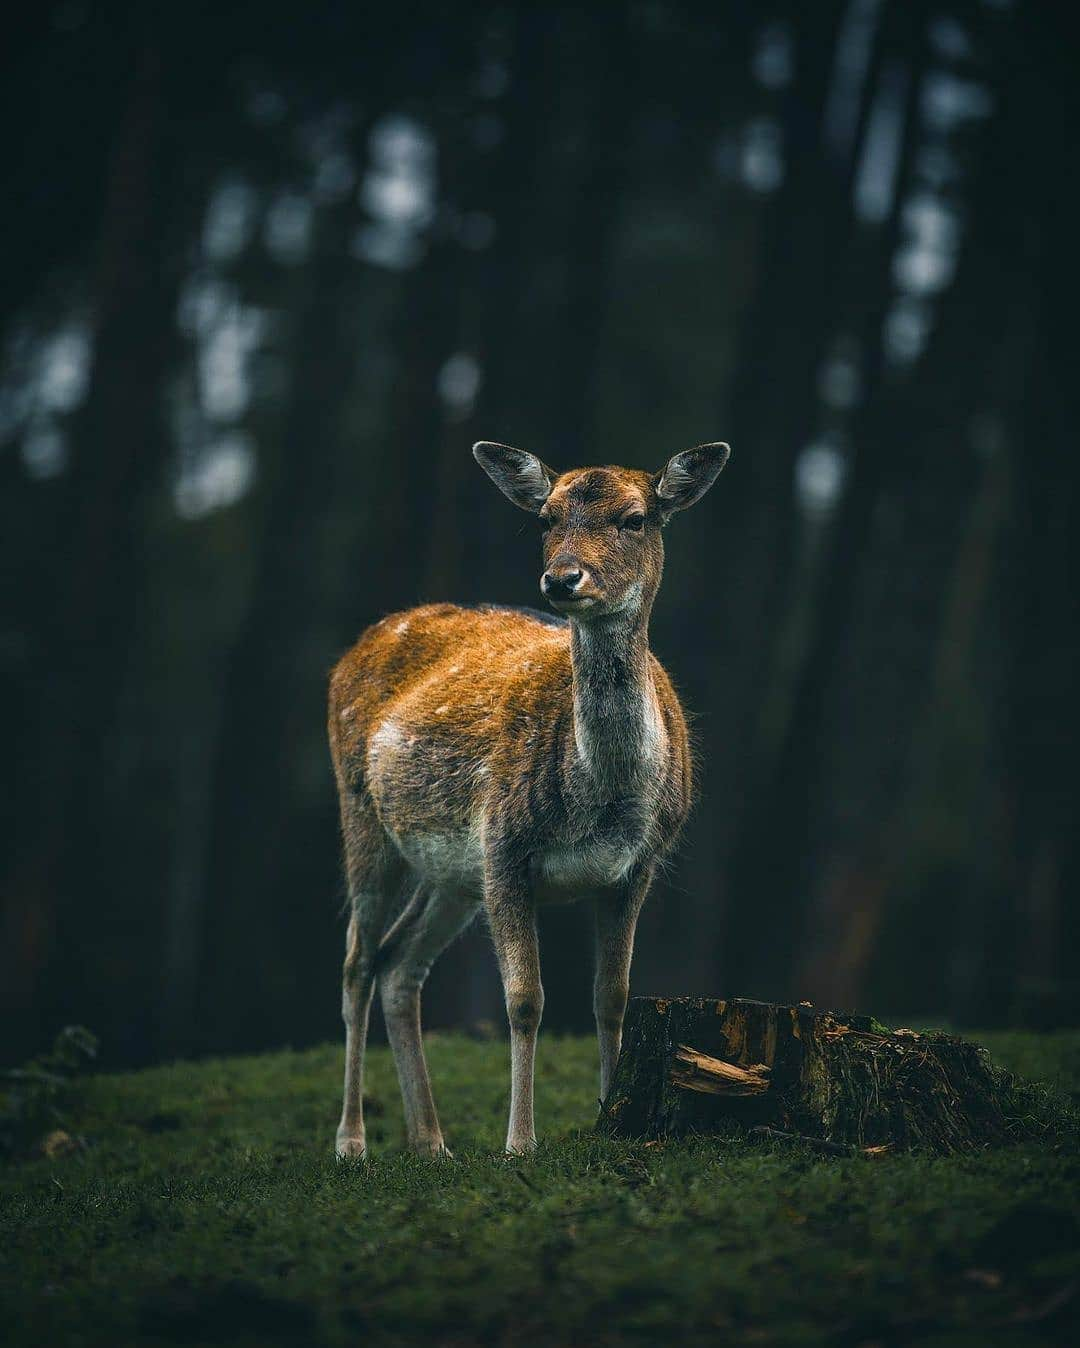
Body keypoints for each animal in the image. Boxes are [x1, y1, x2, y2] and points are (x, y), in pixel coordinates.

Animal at [328, 442, 728, 1159]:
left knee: (399, 964)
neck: (602, 795)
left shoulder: (639, 864)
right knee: (357, 964)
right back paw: (352, 1142)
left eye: (634, 519)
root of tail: (356, 646)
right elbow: (524, 1000)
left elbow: (612, 996)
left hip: (453, 874)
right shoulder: (506, 844)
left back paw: (431, 1142)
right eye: (545, 518)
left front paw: (608, 1117)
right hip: (364, 815)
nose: (563, 579)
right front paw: (520, 1143)